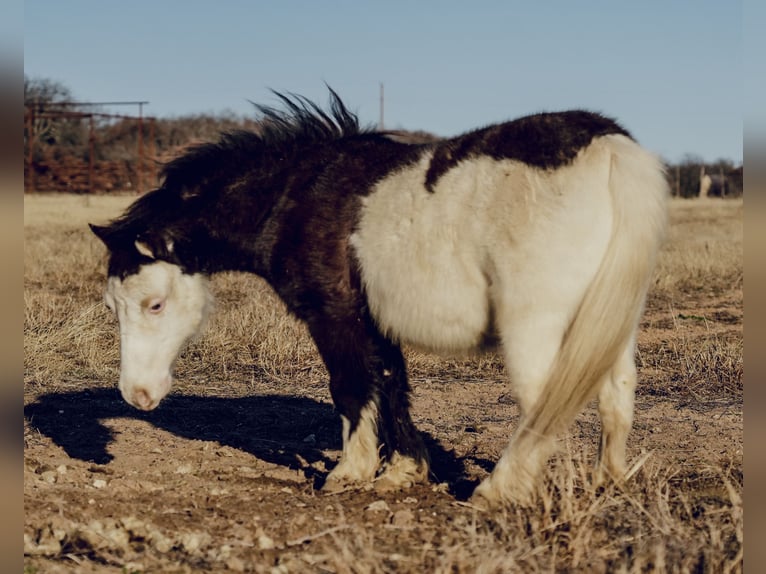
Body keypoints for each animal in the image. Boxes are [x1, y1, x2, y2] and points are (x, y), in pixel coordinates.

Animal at [88, 90, 664, 508]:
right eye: (114, 306)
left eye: (154, 304)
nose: (136, 394)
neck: (297, 195)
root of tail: (609, 147)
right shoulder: (376, 321)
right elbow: (391, 385)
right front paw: (404, 471)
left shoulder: (333, 316)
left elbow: (350, 387)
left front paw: (350, 472)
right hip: (611, 328)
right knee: (617, 396)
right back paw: (609, 481)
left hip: (534, 332)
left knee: (543, 406)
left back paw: (498, 492)